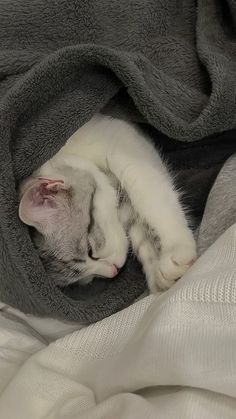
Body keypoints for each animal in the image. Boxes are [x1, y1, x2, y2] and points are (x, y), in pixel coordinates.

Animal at [18, 113, 196, 294]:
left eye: (90, 250)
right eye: (86, 279)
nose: (113, 272)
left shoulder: (122, 143)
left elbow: (150, 195)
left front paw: (177, 247)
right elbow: (139, 236)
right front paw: (155, 274)